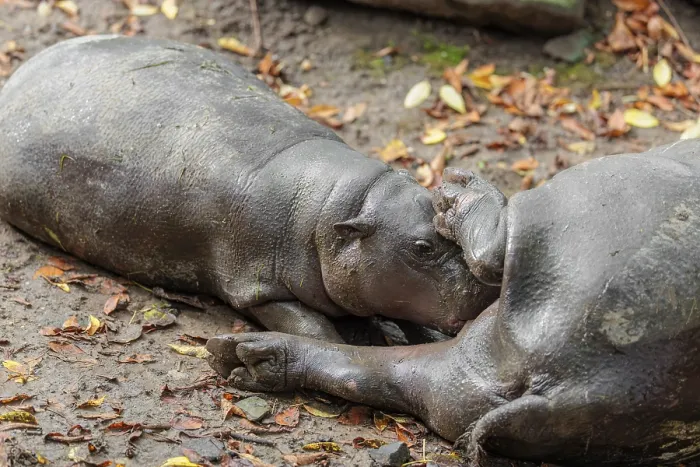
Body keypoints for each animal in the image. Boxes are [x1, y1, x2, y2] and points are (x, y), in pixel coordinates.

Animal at [0, 35, 499, 342]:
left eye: (447, 224)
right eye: (421, 248)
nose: (487, 290)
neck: (332, 210)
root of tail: (19, 75)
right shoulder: (256, 284)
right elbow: (314, 330)